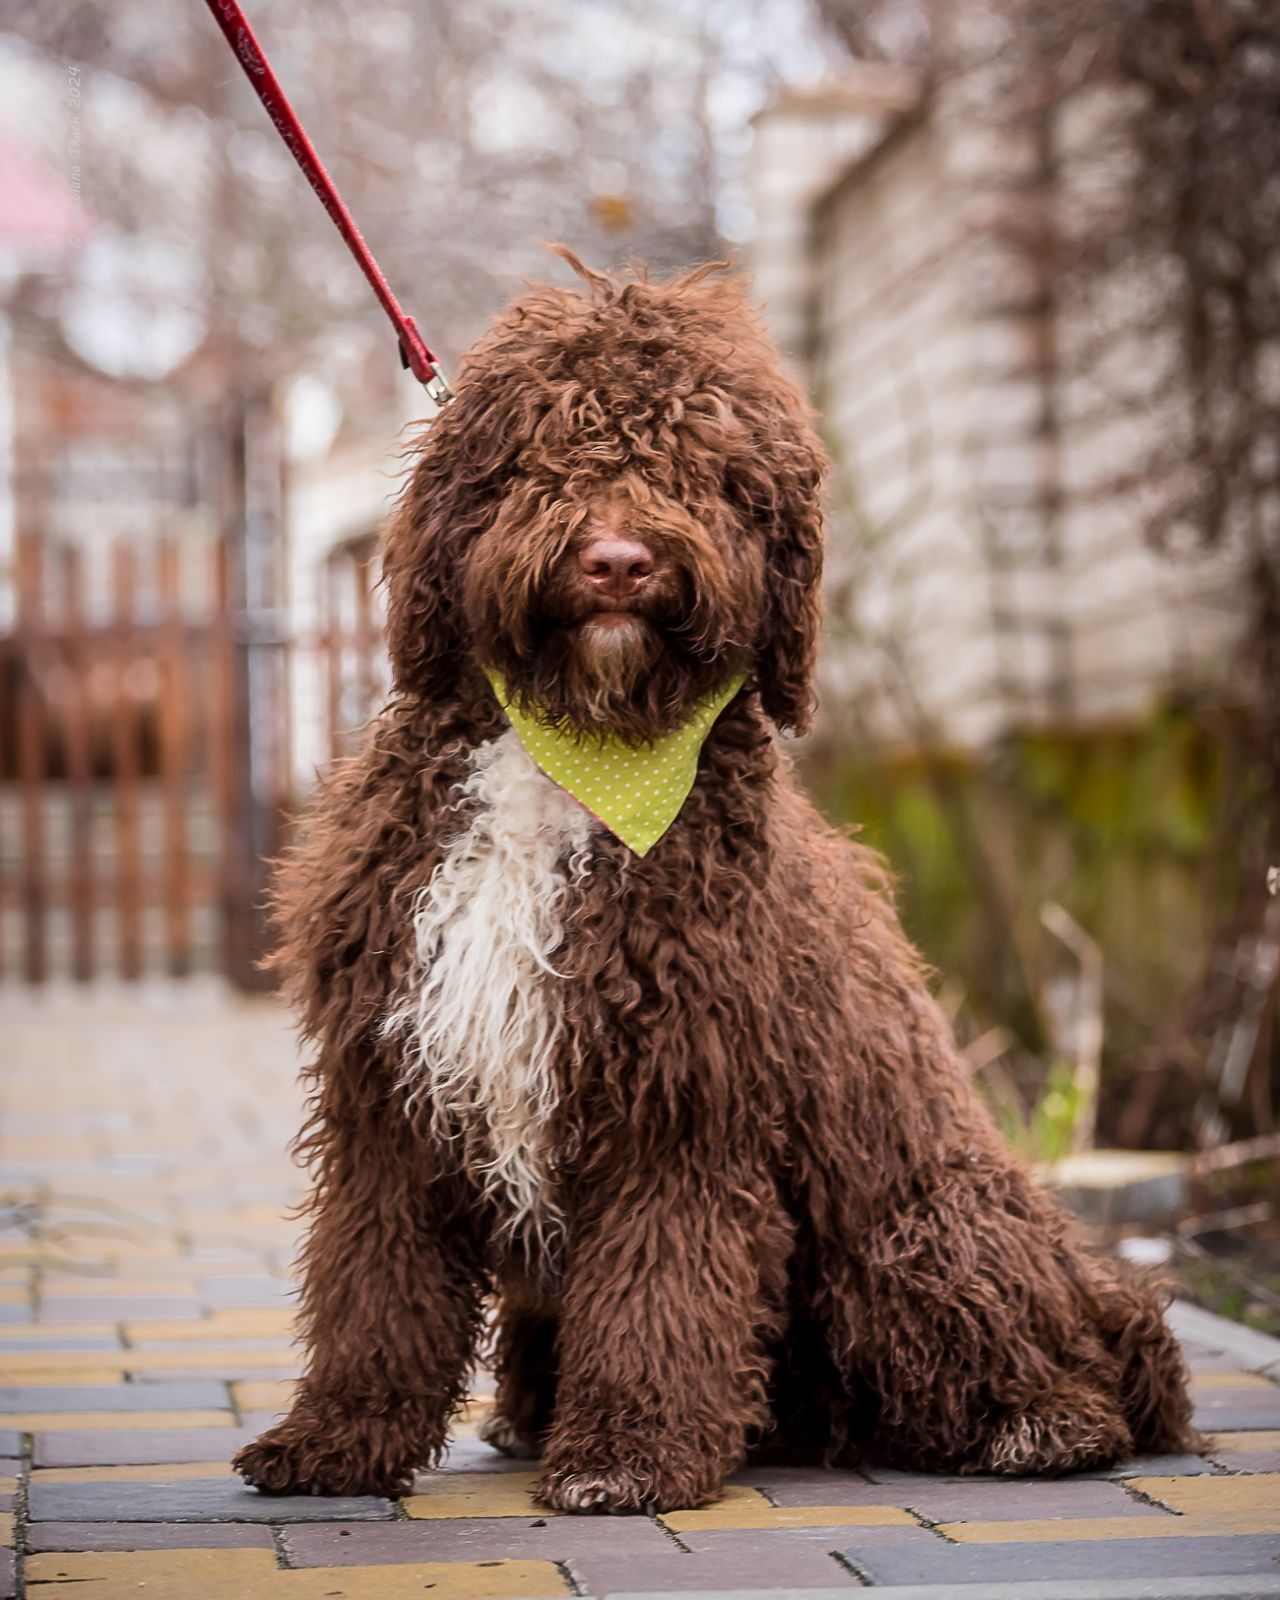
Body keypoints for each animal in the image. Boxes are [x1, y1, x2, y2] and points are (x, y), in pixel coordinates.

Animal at [236, 252, 1203, 1510]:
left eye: (703, 466)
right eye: (551, 443)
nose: (617, 560)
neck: (579, 750)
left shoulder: (684, 1098)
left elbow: (662, 1288)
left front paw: (630, 1451)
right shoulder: (389, 1084)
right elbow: (374, 1285)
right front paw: (337, 1438)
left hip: (908, 1223)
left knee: (1053, 1357)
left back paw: (1037, 1420)